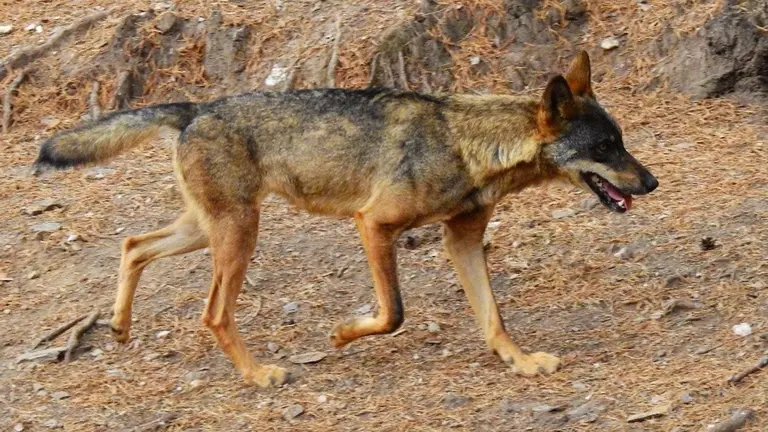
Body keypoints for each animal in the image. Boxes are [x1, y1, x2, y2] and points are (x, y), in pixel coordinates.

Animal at [33, 51, 658, 387]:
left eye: (621, 141)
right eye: (606, 148)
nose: (651, 182)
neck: (467, 144)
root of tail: (197, 108)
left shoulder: (462, 241)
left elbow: (493, 318)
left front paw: (521, 362)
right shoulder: (373, 225)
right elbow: (394, 314)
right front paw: (340, 334)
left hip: (207, 231)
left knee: (132, 243)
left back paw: (119, 326)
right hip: (238, 236)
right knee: (211, 313)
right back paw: (259, 375)